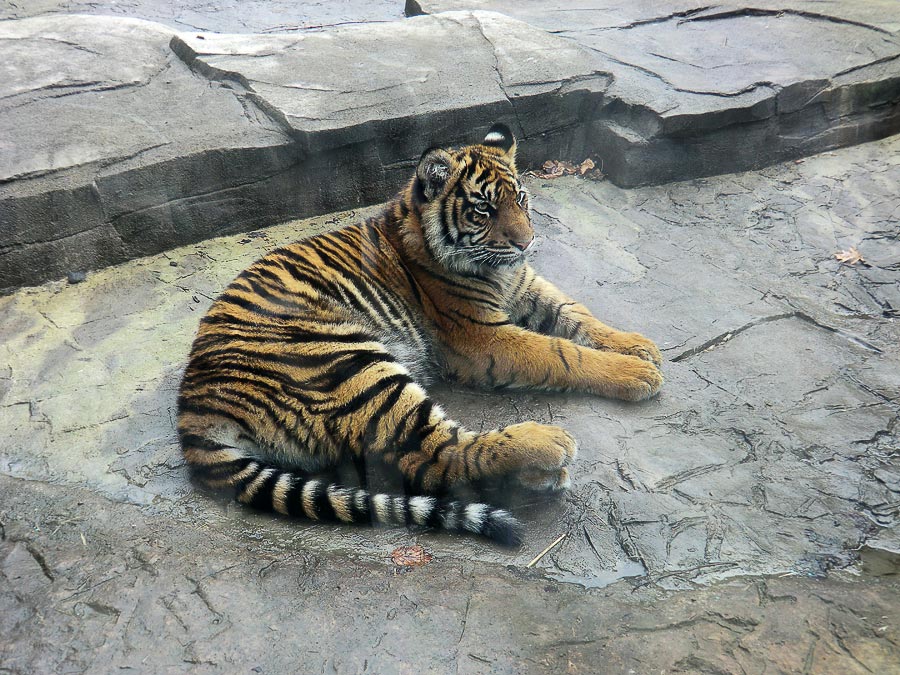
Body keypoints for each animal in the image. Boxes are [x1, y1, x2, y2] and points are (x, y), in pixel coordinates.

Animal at [179, 123, 664, 544]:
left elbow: (576, 313)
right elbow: (560, 351)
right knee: (440, 457)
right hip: (351, 362)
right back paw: (547, 446)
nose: (527, 243)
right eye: (484, 209)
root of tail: (193, 407)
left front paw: (638, 346)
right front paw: (637, 374)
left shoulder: (525, 285)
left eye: (522, 198)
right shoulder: (482, 336)